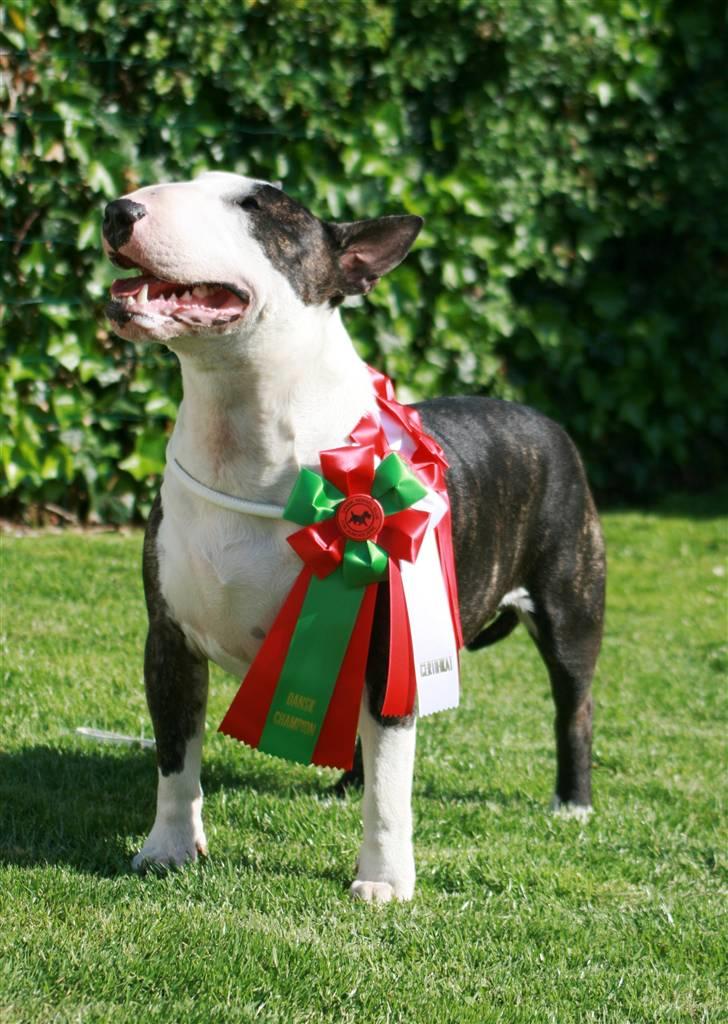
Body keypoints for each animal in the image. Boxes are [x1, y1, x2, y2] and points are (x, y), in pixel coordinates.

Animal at [100, 174, 602, 905]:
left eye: (254, 206)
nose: (118, 211)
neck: (240, 426)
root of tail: (544, 420)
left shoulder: (389, 637)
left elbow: (392, 793)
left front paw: (386, 881)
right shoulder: (168, 638)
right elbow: (174, 756)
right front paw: (167, 848)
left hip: (569, 611)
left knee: (574, 707)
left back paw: (573, 803)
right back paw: (345, 785)